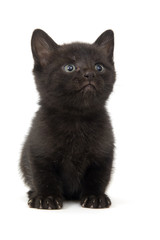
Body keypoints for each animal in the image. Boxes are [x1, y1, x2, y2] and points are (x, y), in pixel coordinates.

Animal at [19, 29, 115, 209]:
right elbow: (43, 175)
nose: (90, 74)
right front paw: (47, 197)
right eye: (69, 68)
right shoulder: (39, 151)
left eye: (99, 67)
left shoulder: (103, 153)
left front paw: (95, 197)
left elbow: (98, 177)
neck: (76, 119)